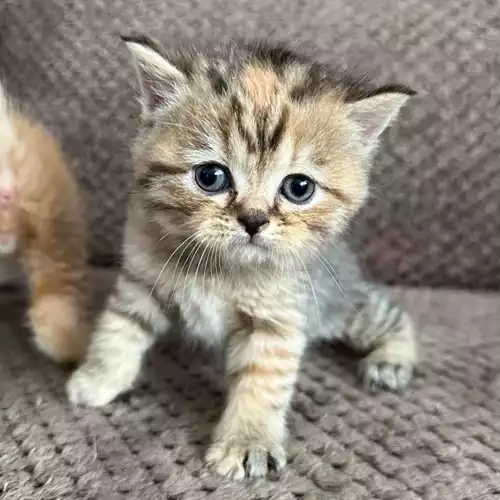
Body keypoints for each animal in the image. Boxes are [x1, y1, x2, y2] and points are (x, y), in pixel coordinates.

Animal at [67, 36, 418, 480]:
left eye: (299, 187)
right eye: (210, 177)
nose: (253, 220)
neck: (222, 269)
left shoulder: (277, 321)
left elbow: (261, 382)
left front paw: (249, 441)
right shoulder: (141, 281)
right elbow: (117, 331)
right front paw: (98, 378)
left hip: (344, 306)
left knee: (393, 315)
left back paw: (390, 363)